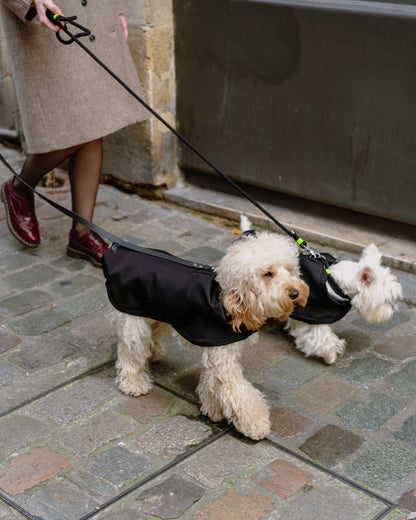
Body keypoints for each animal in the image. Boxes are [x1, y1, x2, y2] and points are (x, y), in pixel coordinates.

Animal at [107, 219, 308, 438]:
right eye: (267, 273)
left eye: (289, 269)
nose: (296, 293)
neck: (228, 300)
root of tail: (115, 251)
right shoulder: (223, 360)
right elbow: (238, 391)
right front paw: (255, 424)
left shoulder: (217, 354)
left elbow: (211, 383)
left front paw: (213, 409)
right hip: (134, 320)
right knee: (129, 351)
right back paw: (133, 383)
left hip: (157, 314)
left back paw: (153, 354)